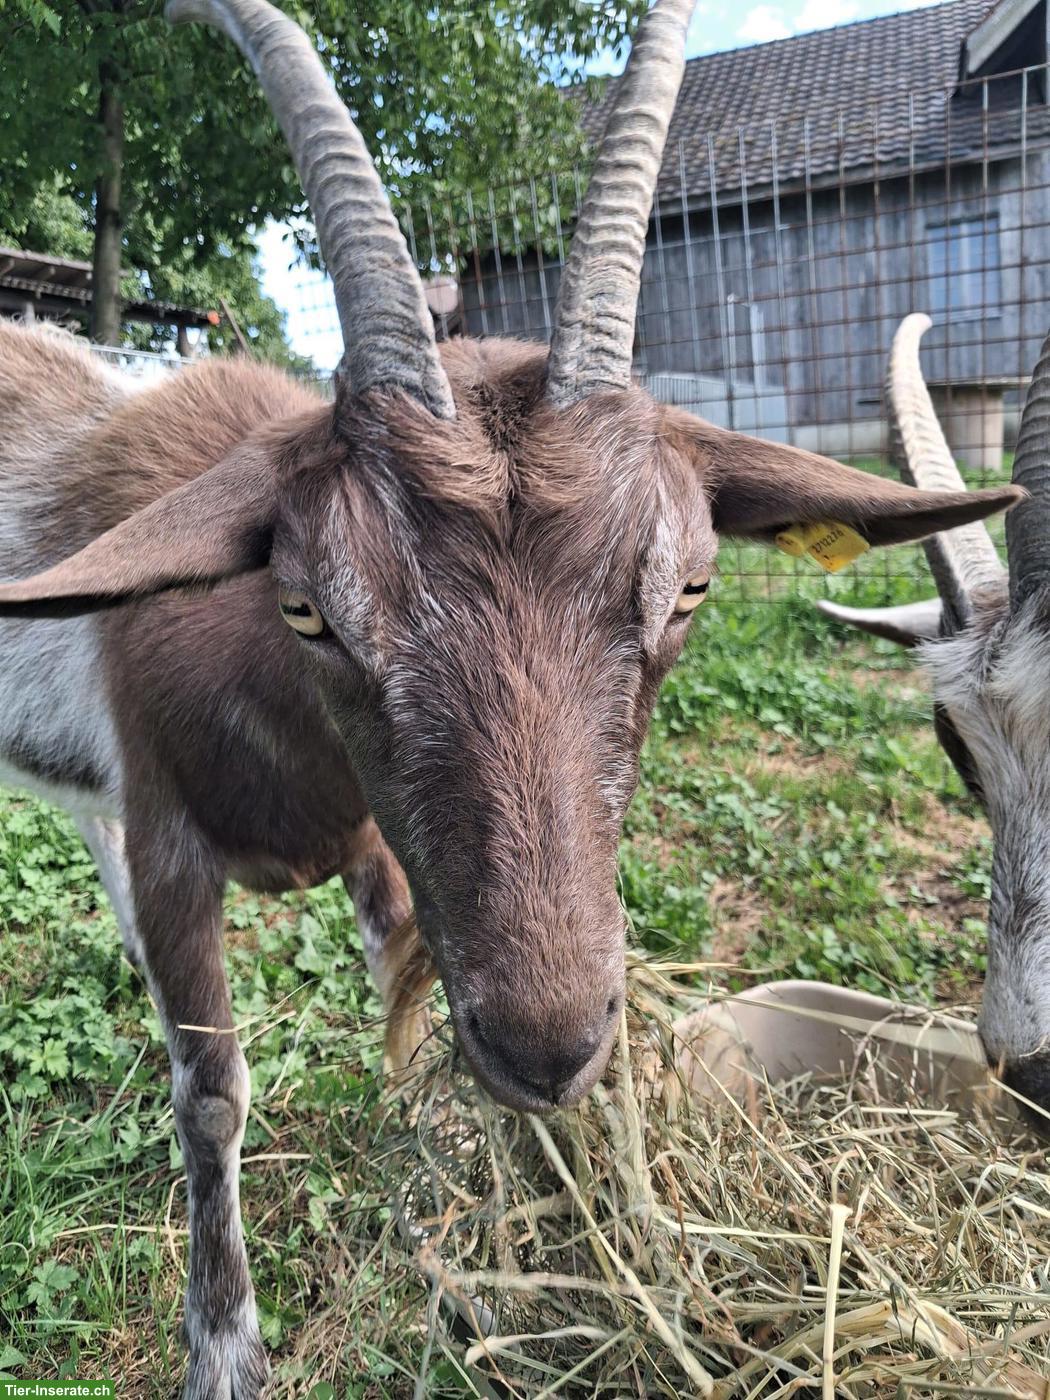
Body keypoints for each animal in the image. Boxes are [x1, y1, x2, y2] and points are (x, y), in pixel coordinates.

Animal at [0, 1, 1021, 1391]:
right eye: (308, 604)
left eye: (692, 584)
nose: (551, 1046)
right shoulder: (169, 836)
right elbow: (209, 1089)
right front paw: (225, 1345)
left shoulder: (377, 841)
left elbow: (393, 972)